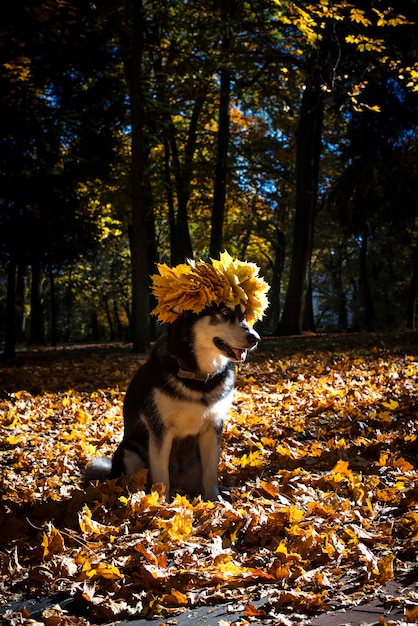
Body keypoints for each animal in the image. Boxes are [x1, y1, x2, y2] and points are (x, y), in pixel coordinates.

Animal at [85, 302, 260, 498]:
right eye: (224, 311)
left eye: (244, 315)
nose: (255, 338)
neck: (198, 377)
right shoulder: (160, 429)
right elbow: (162, 479)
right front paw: (160, 503)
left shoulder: (212, 427)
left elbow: (210, 474)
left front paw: (214, 500)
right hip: (129, 453)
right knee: (132, 482)